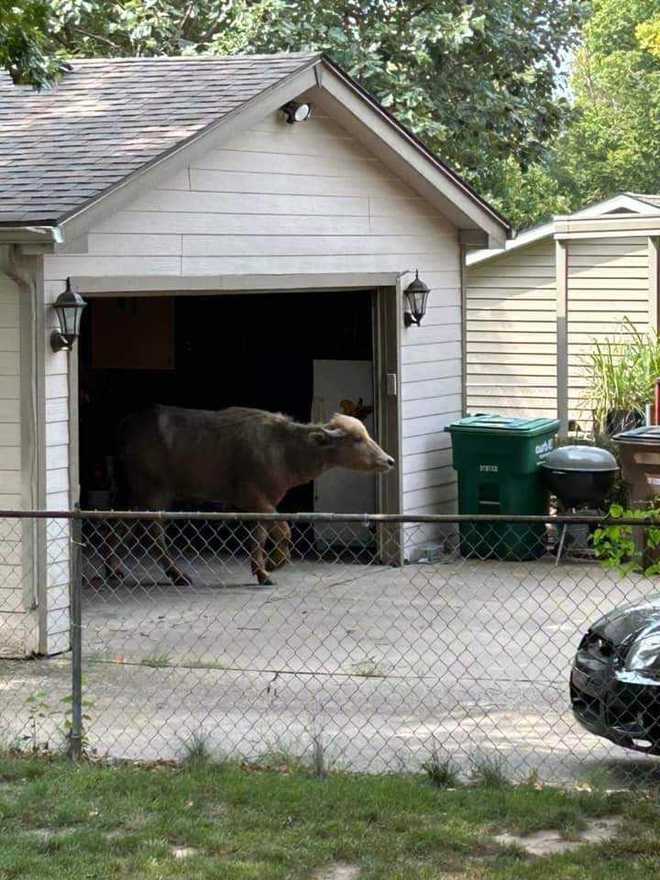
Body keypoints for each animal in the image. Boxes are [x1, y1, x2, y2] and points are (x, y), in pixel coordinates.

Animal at [111, 404, 394, 584]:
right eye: (357, 439)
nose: (389, 460)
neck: (283, 449)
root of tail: (127, 425)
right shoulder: (253, 499)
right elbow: (283, 529)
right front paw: (273, 563)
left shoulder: (261, 503)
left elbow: (258, 537)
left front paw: (261, 571)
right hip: (152, 493)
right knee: (151, 533)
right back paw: (177, 575)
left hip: (133, 495)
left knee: (119, 526)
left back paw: (112, 571)